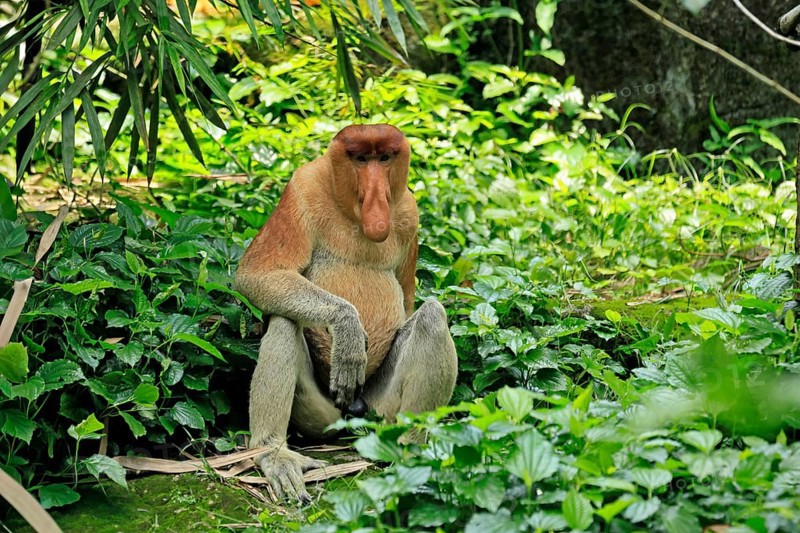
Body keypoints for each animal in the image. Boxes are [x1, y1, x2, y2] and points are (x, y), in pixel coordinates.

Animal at [234, 124, 458, 503]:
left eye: (385, 158)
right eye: (361, 159)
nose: (376, 196)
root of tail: (352, 414)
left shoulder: (409, 213)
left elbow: (410, 302)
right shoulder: (301, 189)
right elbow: (257, 274)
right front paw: (347, 331)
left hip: (380, 407)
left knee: (432, 317)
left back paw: (410, 454)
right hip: (321, 415)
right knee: (284, 321)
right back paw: (274, 454)